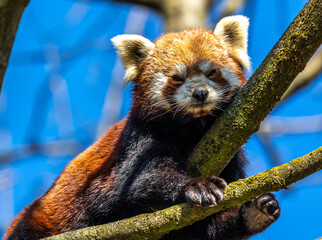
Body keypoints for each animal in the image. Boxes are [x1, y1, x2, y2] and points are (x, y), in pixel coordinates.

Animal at [3, 15, 280, 240]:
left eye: (211, 72)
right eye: (177, 78)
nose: (200, 93)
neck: (194, 127)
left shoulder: (230, 149)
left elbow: (208, 228)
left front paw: (254, 212)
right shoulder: (139, 137)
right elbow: (135, 181)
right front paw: (196, 186)